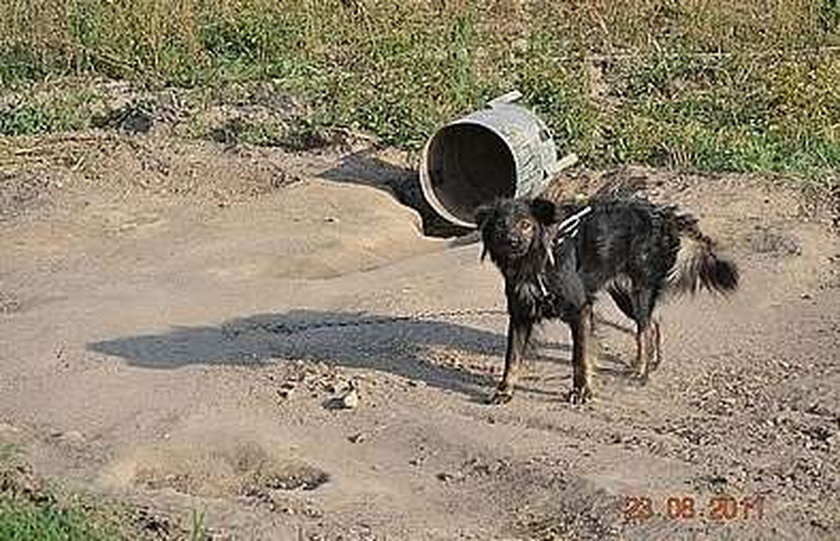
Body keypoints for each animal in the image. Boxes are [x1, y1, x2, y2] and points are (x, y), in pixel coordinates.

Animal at [476, 196, 740, 402]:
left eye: (526, 224)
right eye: (500, 226)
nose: (512, 242)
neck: (534, 262)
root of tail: (664, 215)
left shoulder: (580, 309)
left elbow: (579, 357)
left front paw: (581, 391)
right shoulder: (520, 314)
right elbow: (512, 358)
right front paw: (504, 391)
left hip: (640, 290)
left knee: (644, 329)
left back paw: (641, 372)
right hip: (624, 295)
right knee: (652, 323)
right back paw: (650, 362)